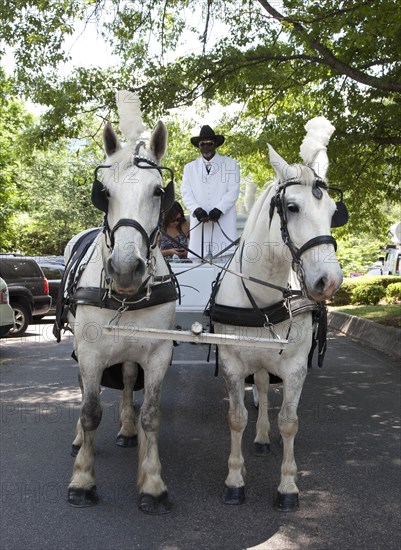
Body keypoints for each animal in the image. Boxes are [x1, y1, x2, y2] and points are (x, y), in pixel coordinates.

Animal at [63, 91, 175, 516]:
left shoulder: (158, 353)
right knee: (84, 392)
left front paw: (153, 483)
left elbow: (151, 415)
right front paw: (82, 480)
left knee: (127, 379)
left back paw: (127, 428)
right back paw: (79, 439)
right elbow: (91, 410)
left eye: (158, 192)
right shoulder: (91, 351)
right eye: (104, 193)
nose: (126, 268)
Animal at [209, 115, 344, 512]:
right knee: (261, 387)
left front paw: (288, 486)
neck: (264, 294)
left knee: (265, 389)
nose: (329, 281)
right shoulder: (232, 362)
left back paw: (264, 438)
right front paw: (235, 479)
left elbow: (288, 420)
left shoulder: (296, 366)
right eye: (292, 207)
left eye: (333, 212)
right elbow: (236, 417)